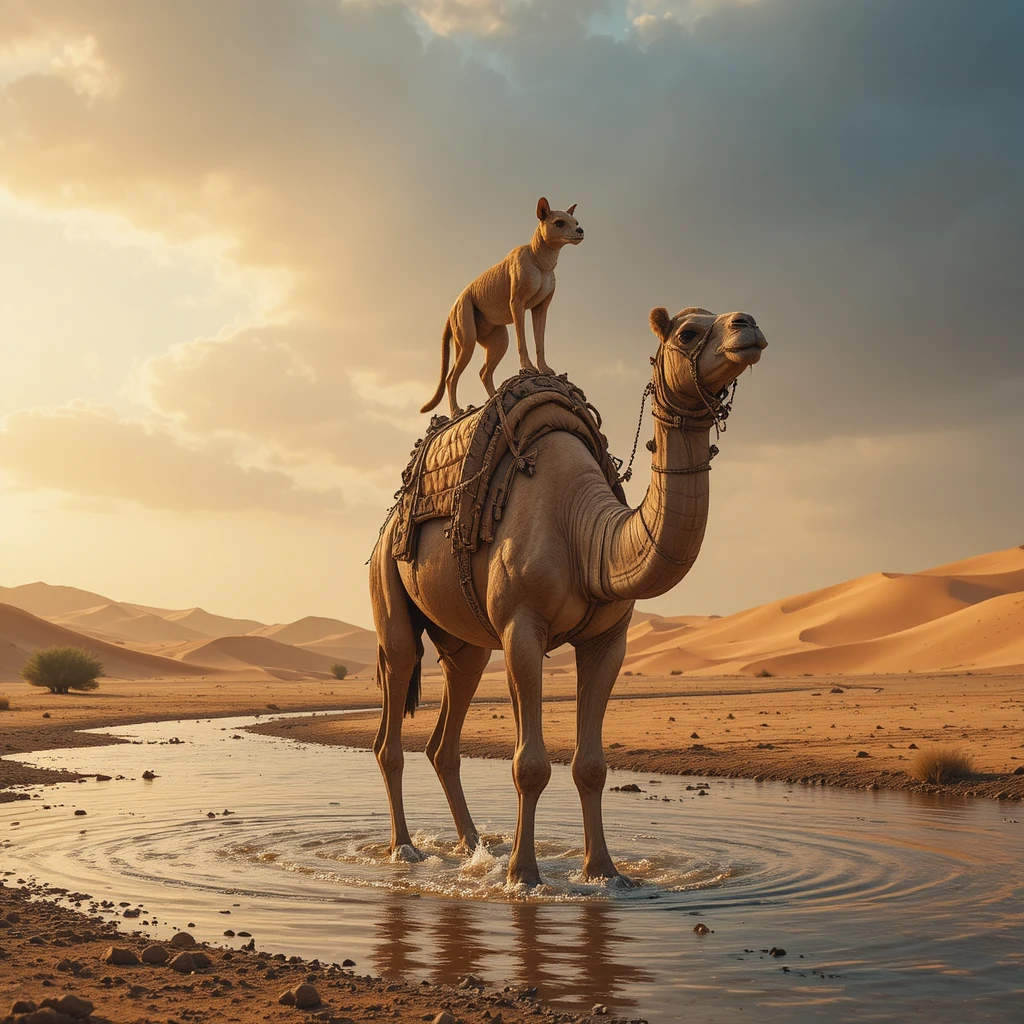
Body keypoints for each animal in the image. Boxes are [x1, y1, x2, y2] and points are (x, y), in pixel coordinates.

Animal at [370, 305, 767, 886]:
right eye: (688, 332)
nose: (747, 326)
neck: (589, 534)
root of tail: (387, 524)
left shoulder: (608, 639)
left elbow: (591, 764)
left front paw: (604, 871)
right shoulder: (522, 627)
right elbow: (530, 764)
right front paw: (523, 874)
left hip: (468, 647)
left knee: (446, 739)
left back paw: (473, 849)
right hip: (388, 591)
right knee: (392, 721)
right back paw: (406, 850)